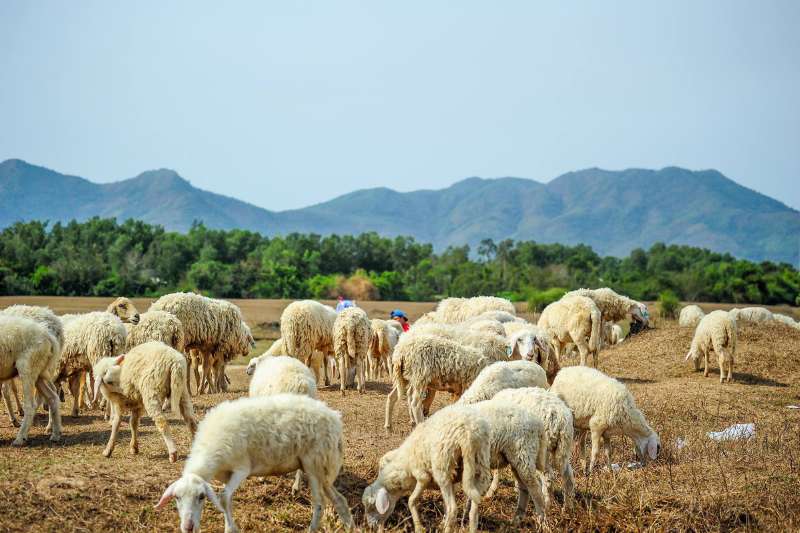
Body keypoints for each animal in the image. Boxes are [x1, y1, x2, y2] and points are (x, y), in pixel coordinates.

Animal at [156, 392, 354, 528]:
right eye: (177, 498)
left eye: (201, 497)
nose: (188, 527)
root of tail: (335, 419)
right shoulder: (227, 476)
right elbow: (226, 501)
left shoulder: (241, 469)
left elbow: (224, 498)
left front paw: (231, 529)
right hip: (323, 468)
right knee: (340, 500)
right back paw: (350, 526)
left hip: (313, 463)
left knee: (319, 503)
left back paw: (312, 528)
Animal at [364, 404, 490, 532]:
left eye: (372, 507)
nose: (371, 526)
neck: (405, 464)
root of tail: (467, 434)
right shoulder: (453, 480)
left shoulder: (422, 476)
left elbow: (411, 501)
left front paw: (419, 527)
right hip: (480, 464)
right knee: (473, 512)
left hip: (443, 467)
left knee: (452, 509)